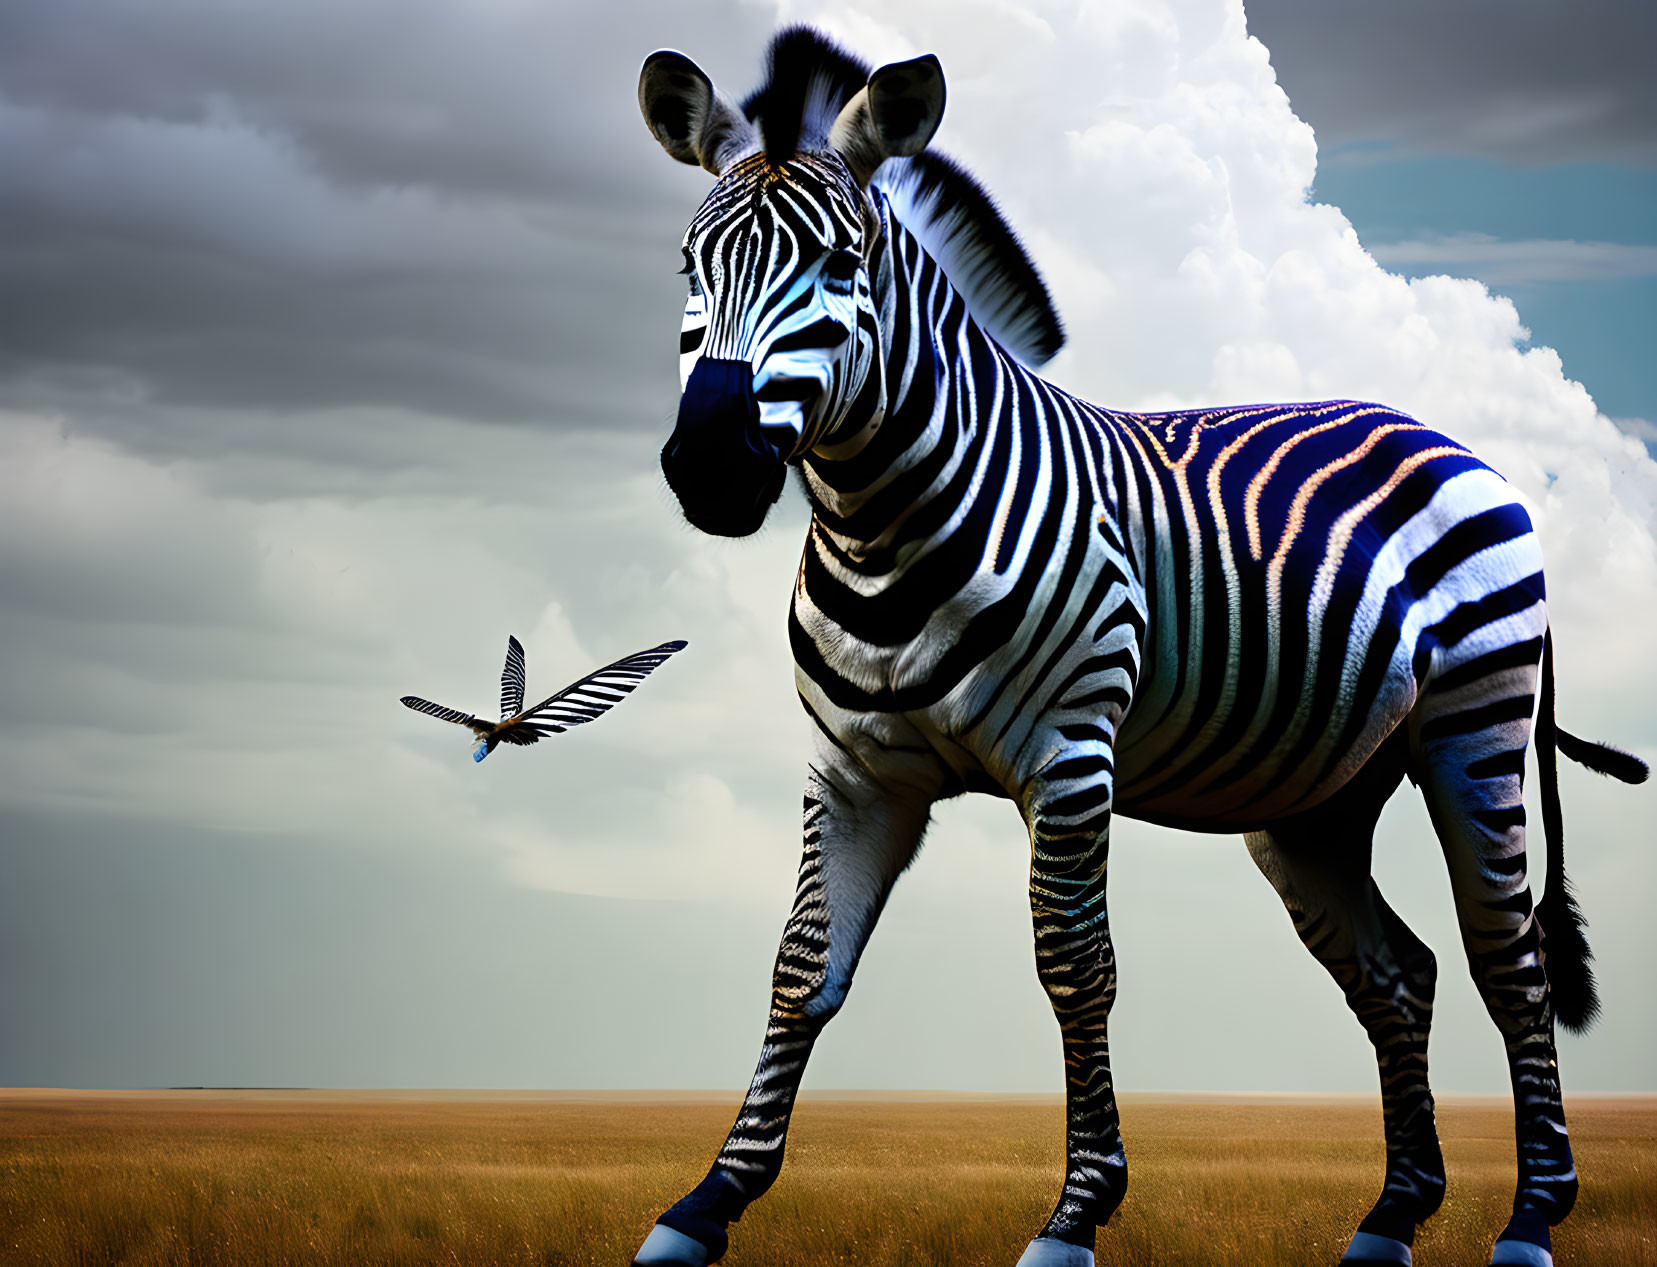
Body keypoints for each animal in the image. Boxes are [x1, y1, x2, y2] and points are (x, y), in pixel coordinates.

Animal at [626, 27, 1637, 1265]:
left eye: (840, 263)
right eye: (690, 268)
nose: (711, 467)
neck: (880, 527)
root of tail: (1439, 435)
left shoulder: (1069, 759)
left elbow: (1076, 970)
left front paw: (1076, 1212)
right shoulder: (855, 771)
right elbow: (800, 970)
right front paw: (705, 1202)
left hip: (1474, 732)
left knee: (1511, 966)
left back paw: (1534, 1213)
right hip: (1315, 800)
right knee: (1398, 974)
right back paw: (1393, 1211)